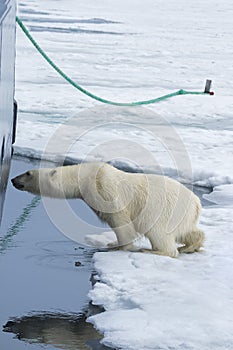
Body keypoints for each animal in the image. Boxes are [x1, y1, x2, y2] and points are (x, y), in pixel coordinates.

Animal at [11, 162, 204, 258]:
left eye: (28, 173)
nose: (13, 180)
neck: (86, 177)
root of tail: (196, 202)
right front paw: (113, 243)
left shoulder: (105, 189)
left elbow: (120, 220)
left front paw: (117, 246)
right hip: (183, 215)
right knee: (187, 231)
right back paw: (190, 246)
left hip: (163, 208)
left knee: (159, 232)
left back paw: (154, 250)